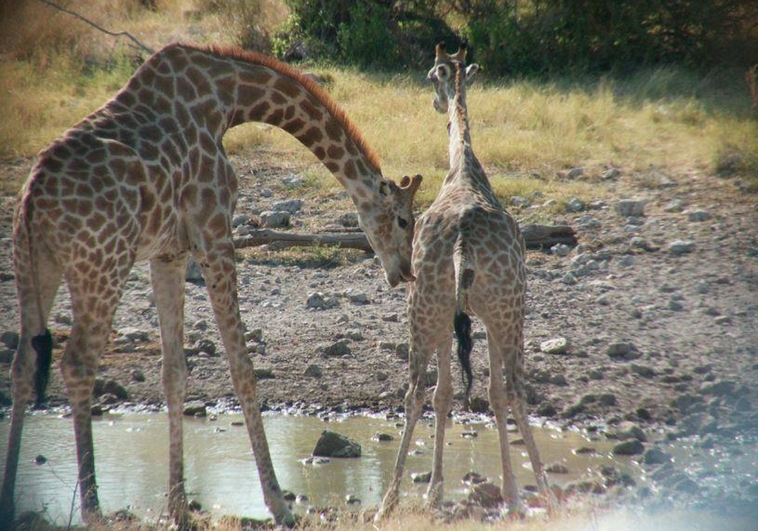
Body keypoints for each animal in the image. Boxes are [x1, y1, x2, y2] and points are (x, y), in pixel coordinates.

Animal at [1, 41, 422, 528]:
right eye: (403, 219)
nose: (405, 271)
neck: (228, 100)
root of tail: (32, 198)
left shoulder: (168, 251)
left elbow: (174, 373)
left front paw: (179, 507)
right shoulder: (215, 232)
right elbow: (242, 368)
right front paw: (279, 505)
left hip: (35, 264)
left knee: (23, 363)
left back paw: (13, 499)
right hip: (102, 264)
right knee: (77, 363)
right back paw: (93, 509)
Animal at [380, 44, 552, 520]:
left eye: (429, 75)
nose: (437, 104)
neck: (464, 169)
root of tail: (461, 245)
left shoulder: (457, 315)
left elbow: (450, 395)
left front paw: (436, 490)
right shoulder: (480, 316)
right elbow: (482, 393)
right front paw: (504, 490)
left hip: (427, 308)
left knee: (416, 393)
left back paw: (388, 500)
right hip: (505, 311)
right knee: (513, 389)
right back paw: (541, 492)